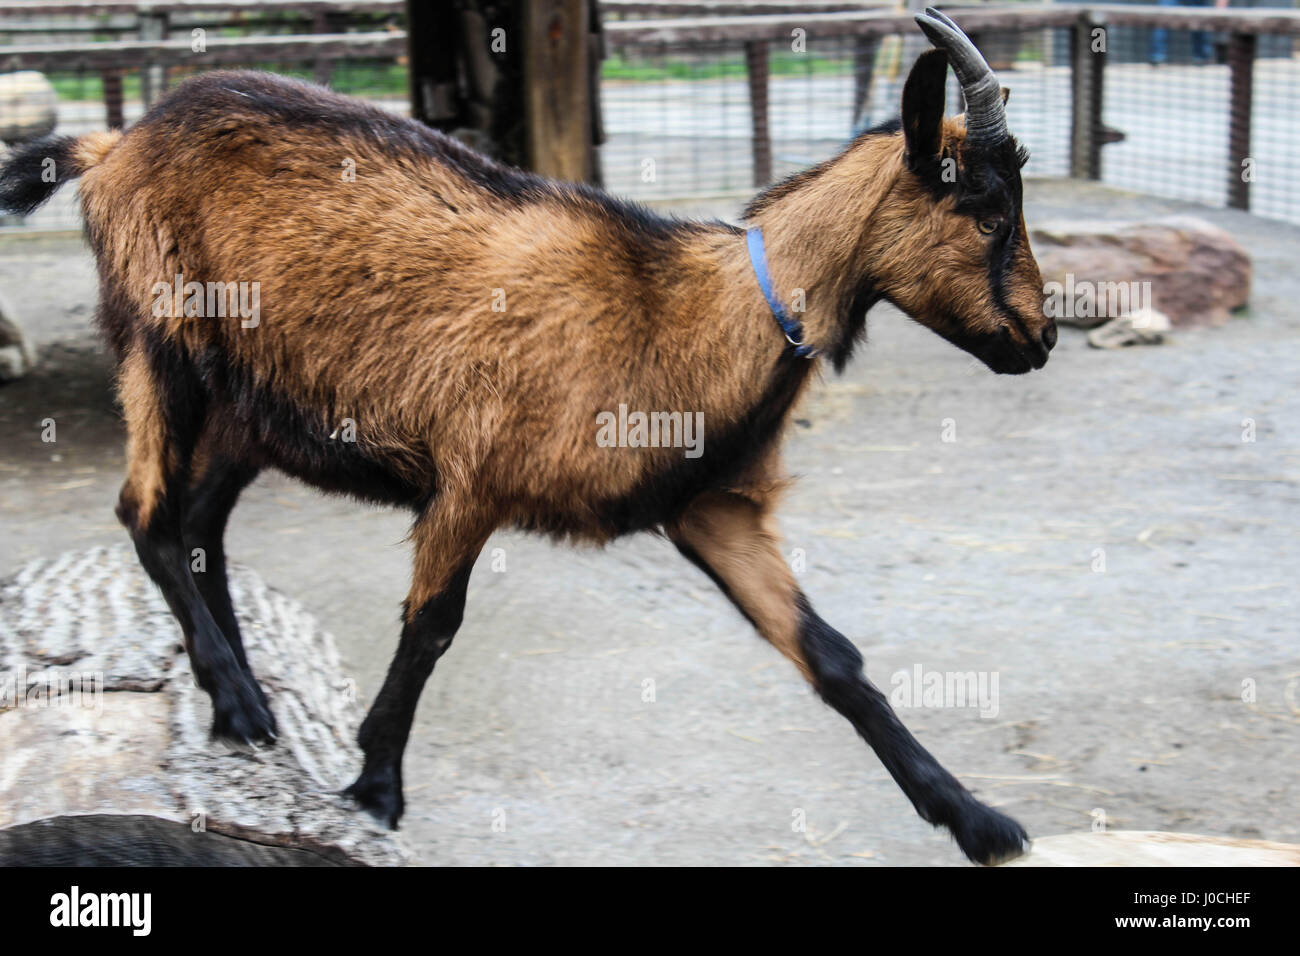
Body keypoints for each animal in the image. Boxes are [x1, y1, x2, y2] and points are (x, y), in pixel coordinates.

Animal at [0, 9, 1054, 864]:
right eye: (984, 210)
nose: (1042, 339)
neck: (694, 311)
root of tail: (114, 144)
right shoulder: (472, 481)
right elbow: (431, 626)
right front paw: (376, 788)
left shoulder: (710, 510)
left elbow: (834, 658)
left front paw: (980, 821)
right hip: (161, 340)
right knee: (145, 513)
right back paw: (244, 702)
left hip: (251, 412)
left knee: (199, 528)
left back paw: (237, 703)